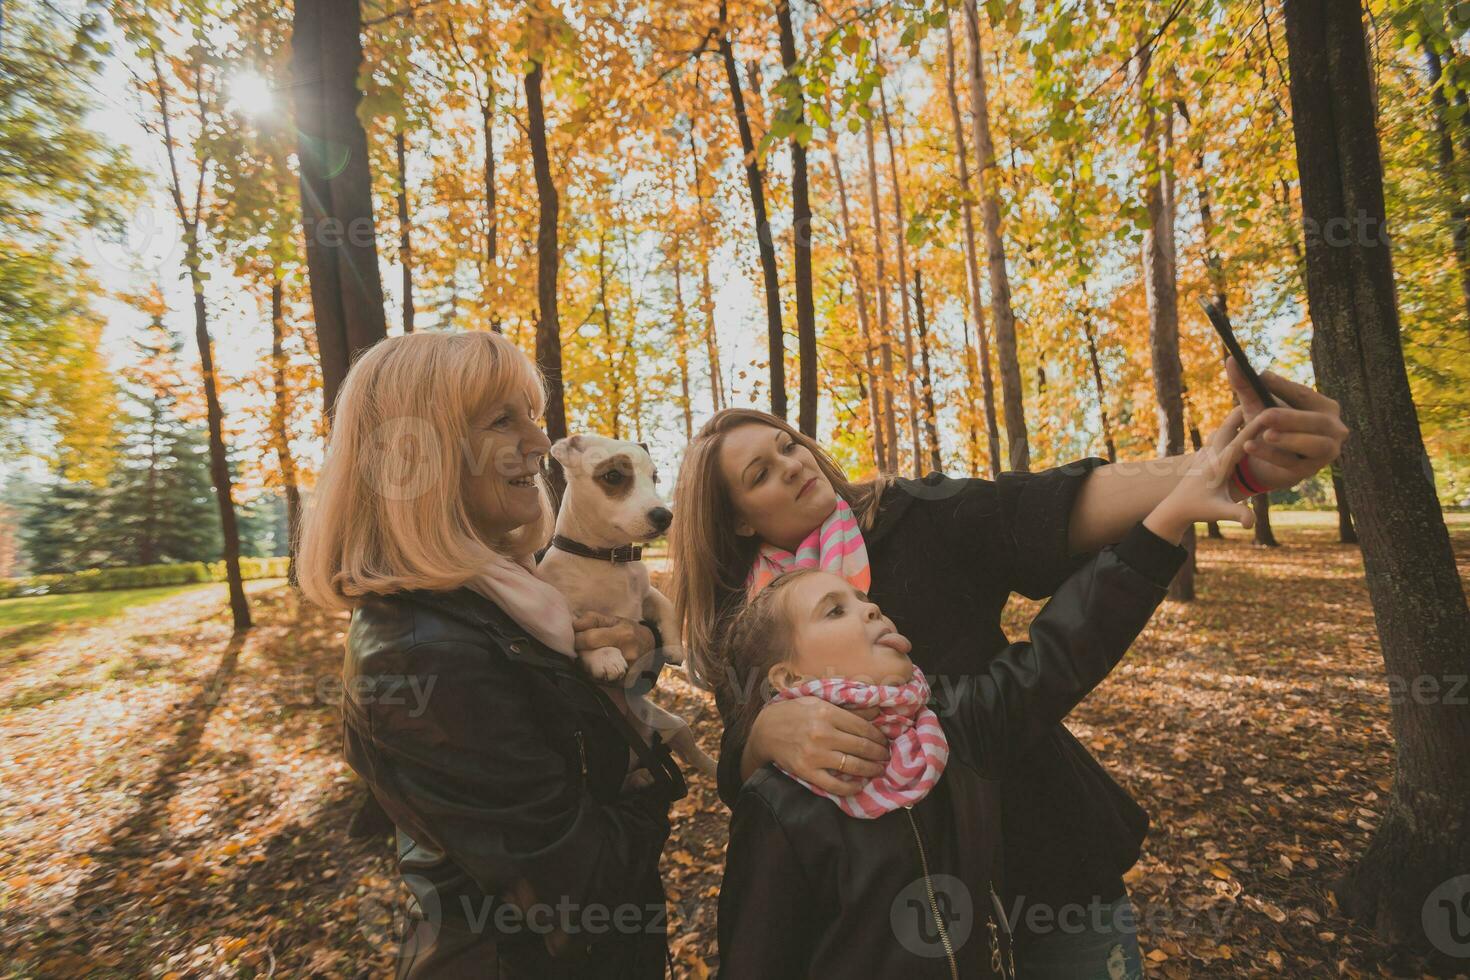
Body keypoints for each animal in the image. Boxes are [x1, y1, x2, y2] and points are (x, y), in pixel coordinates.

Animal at [538, 437, 720, 781]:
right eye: (613, 476)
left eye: (654, 477)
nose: (664, 516)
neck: (607, 559)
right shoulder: (563, 612)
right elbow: (579, 635)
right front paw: (605, 657)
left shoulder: (648, 594)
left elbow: (667, 607)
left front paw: (674, 647)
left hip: (675, 725)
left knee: (691, 751)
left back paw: (714, 770)